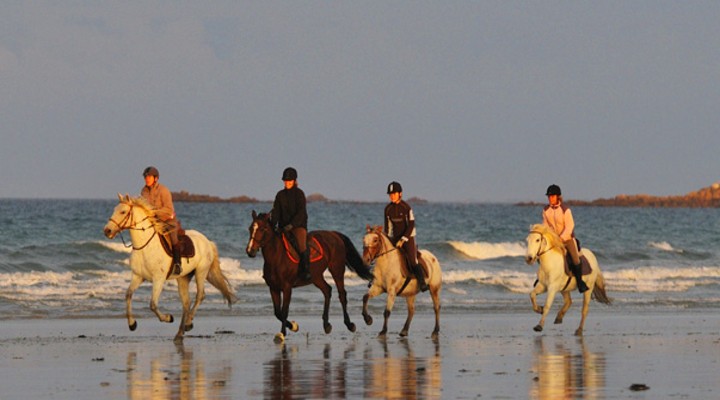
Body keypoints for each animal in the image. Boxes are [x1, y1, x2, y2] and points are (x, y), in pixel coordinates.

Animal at [103, 193, 236, 340]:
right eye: (115, 209)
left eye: (123, 211)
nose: (107, 230)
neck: (145, 247)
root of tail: (207, 241)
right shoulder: (138, 277)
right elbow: (128, 295)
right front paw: (132, 324)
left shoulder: (158, 279)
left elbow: (153, 305)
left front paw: (168, 318)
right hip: (183, 278)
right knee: (186, 303)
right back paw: (180, 332)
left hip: (201, 272)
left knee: (200, 296)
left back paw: (188, 323)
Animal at [246, 211, 374, 342]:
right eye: (250, 228)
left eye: (263, 229)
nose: (250, 251)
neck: (277, 258)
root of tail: (334, 234)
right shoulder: (273, 288)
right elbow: (278, 312)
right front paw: (293, 326)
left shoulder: (287, 288)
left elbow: (284, 311)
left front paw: (283, 333)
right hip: (316, 276)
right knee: (327, 290)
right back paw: (326, 325)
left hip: (336, 270)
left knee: (342, 294)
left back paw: (350, 324)